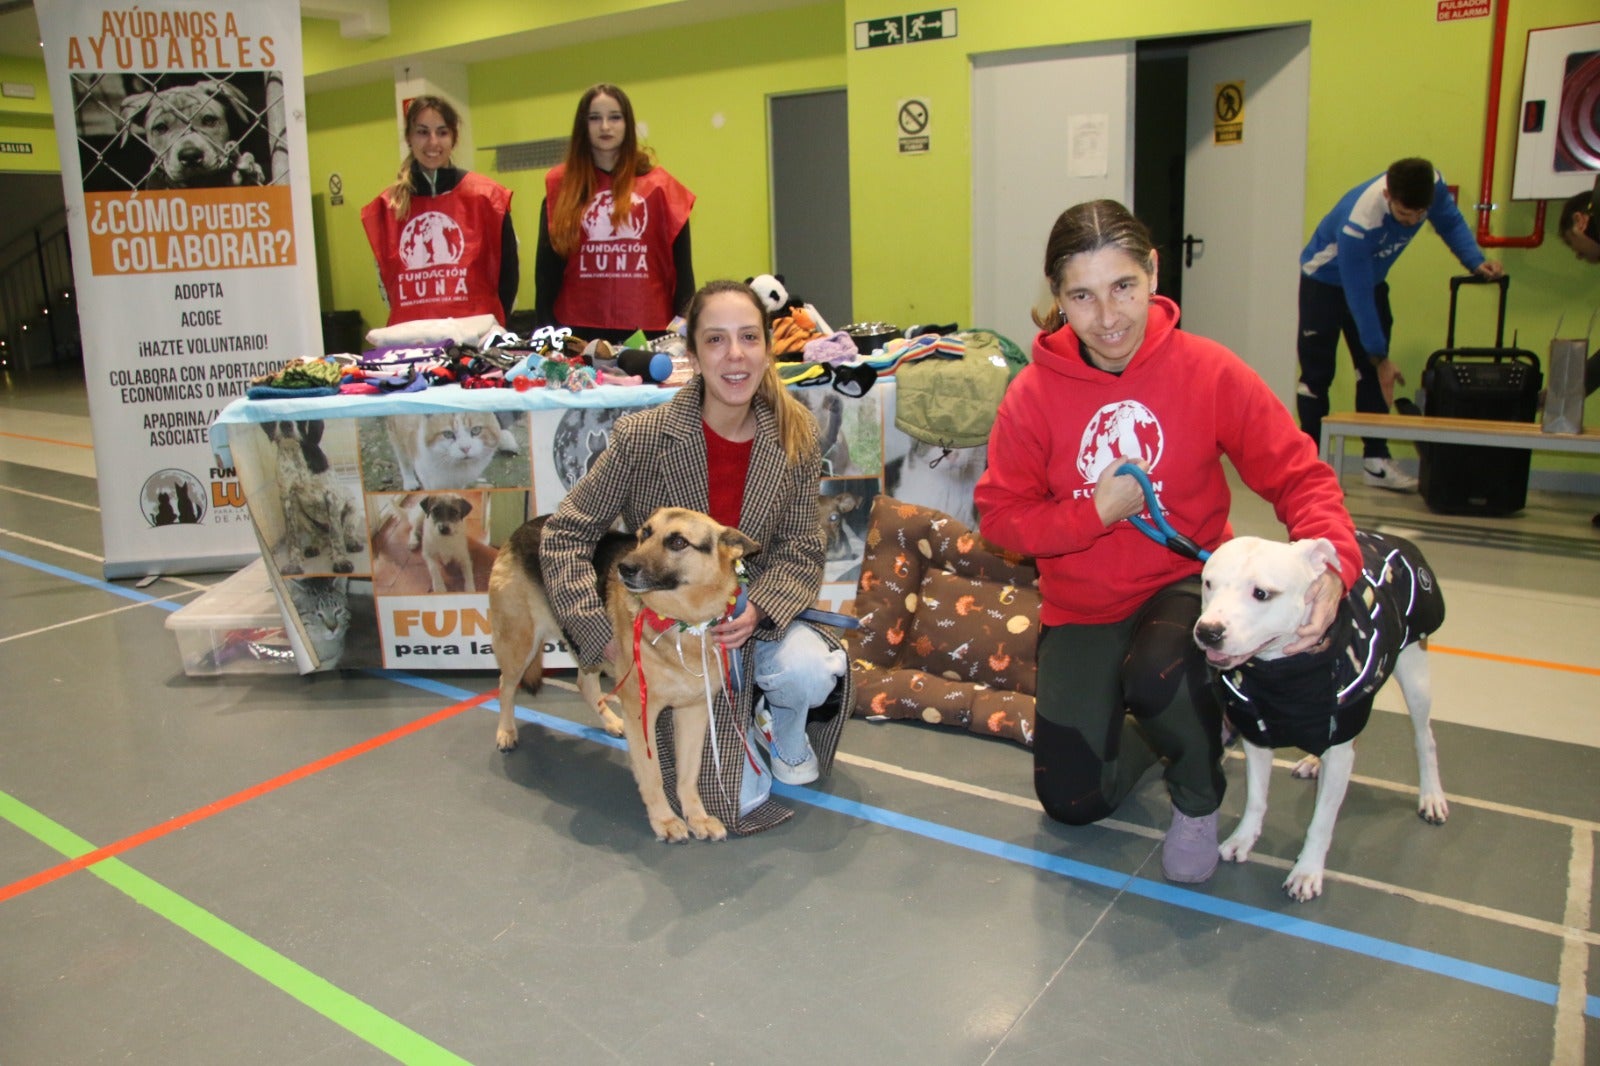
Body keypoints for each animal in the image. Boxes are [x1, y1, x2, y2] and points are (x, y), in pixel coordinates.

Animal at [483, 505, 758, 838]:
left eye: (678, 542)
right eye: (644, 534)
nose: (624, 569)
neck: (685, 623)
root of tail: (527, 526)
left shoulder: (693, 712)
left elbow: (688, 775)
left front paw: (697, 816)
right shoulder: (642, 712)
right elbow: (653, 774)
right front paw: (664, 819)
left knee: (585, 684)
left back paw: (612, 722)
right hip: (520, 643)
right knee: (505, 685)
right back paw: (506, 731)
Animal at [1196, 528, 1446, 896]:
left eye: (1261, 593)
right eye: (1208, 583)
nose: (1207, 631)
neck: (1282, 672)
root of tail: (1386, 536)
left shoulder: (1341, 745)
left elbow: (1322, 820)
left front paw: (1307, 870)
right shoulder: (1256, 735)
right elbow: (1256, 798)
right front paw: (1243, 839)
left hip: (1415, 674)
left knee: (1424, 737)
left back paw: (1431, 796)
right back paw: (1315, 761)